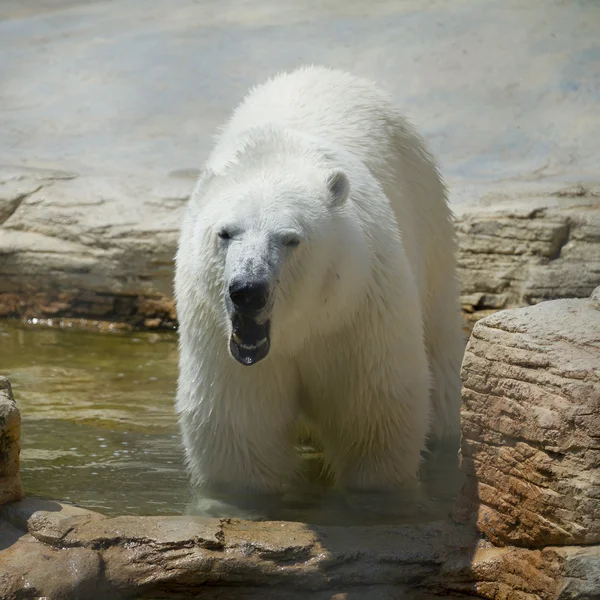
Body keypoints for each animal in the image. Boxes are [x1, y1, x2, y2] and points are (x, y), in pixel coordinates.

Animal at [173, 67, 464, 496]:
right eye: (225, 233)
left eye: (290, 239)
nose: (248, 291)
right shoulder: (217, 337)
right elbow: (241, 437)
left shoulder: (357, 313)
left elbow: (374, 421)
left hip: (428, 218)